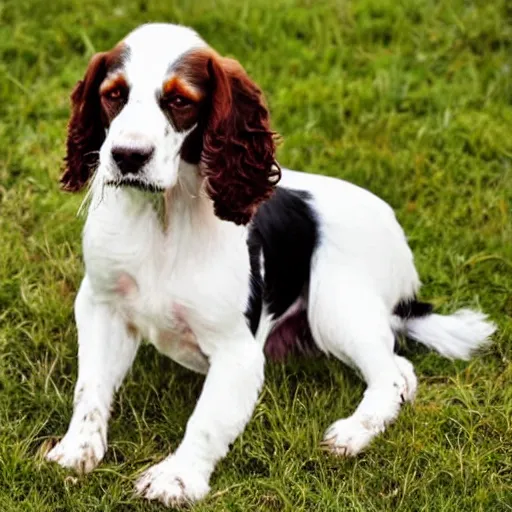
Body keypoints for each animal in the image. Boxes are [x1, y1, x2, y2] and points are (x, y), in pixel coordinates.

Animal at [47, 24, 496, 508]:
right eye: (113, 94)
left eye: (180, 101)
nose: (127, 156)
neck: (161, 219)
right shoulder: (101, 305)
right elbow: (90, 386)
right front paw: (76, 450)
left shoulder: (237, 350)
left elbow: (205, 419)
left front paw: (177, 478)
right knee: (401, 368)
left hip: (335, 305)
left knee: (389, 375)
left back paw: (353, 433)